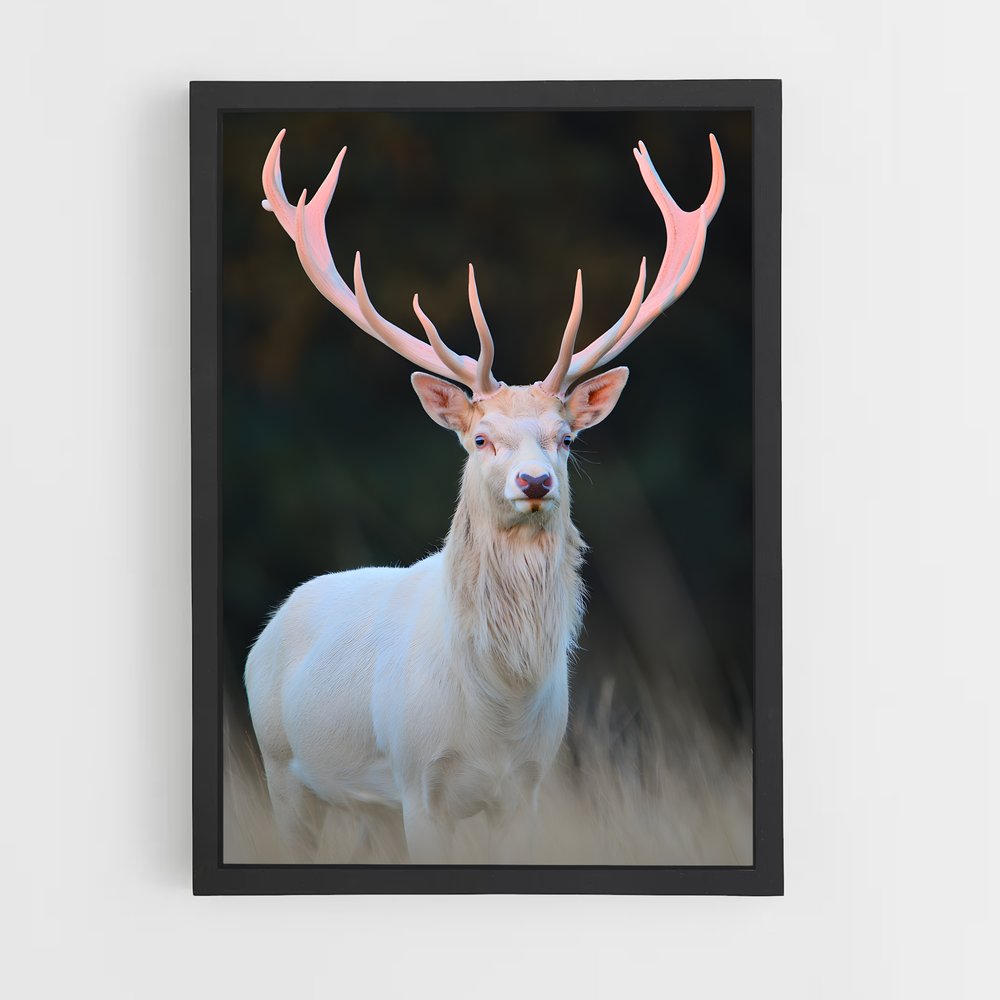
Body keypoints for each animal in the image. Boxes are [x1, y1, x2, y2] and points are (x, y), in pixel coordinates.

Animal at [244, 128, 725, 863]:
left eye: (565, 437)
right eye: (480, 439)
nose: (535, 481)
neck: (496, 714)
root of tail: (270, 625)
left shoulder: (527, 788)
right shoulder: (417, 782)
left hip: (367, 810)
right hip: (282, 772)